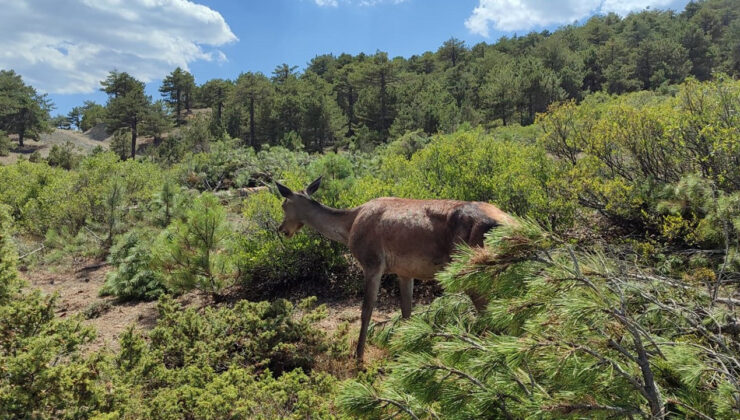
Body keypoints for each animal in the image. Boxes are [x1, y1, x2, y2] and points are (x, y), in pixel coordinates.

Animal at [274, 176, 512, 360]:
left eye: (284, 205)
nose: (282, 229)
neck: (349, 226)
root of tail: (509, 224)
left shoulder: (372, 262)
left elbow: (366, 310)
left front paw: (358, 356)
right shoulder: (405, 271)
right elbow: (407, 312)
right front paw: (407, 349)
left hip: (471, 267)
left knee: (489, 311)